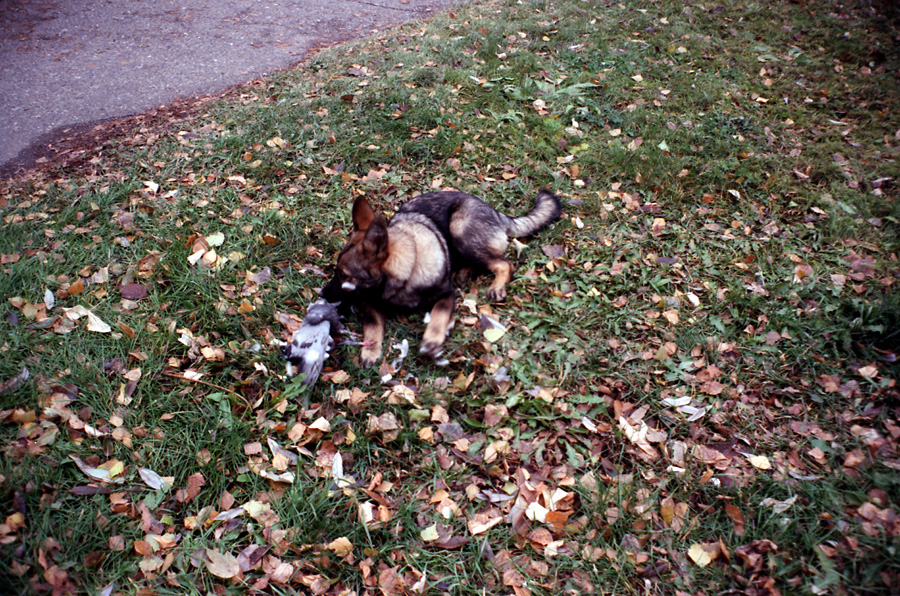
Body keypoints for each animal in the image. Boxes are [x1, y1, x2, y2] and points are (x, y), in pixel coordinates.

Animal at [322, 191, 564, 368]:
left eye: (344, 275)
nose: (321, 294)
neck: (407, 270)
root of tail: (497, 213)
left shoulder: (446, 294)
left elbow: (439, 314)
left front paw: (432, 340)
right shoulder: (369, 301)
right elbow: (372, 324)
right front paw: (371, 349)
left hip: (459, 229)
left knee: (504, 263)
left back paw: (495, 284)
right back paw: (465, 272)